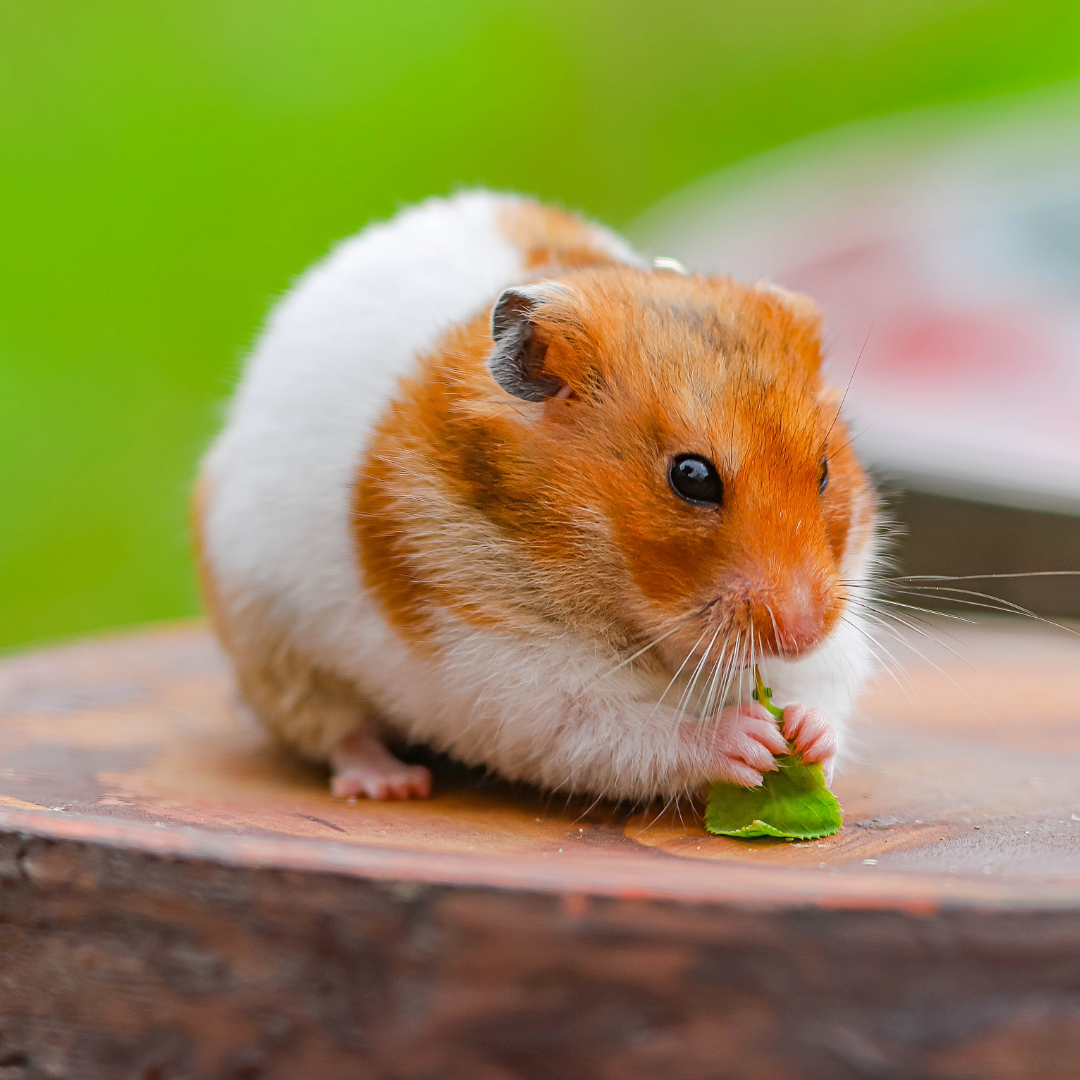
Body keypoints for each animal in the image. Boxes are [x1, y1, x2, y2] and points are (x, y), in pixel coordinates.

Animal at [194, 190, 879, 804]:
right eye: (692, 477)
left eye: (824, 470)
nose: (804, 631)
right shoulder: (505, 669)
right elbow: (624, 731)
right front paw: (750, 740)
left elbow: (818, 688)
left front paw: (804, 737)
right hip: (275, 649)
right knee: (335, 732)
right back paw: (389, 783)